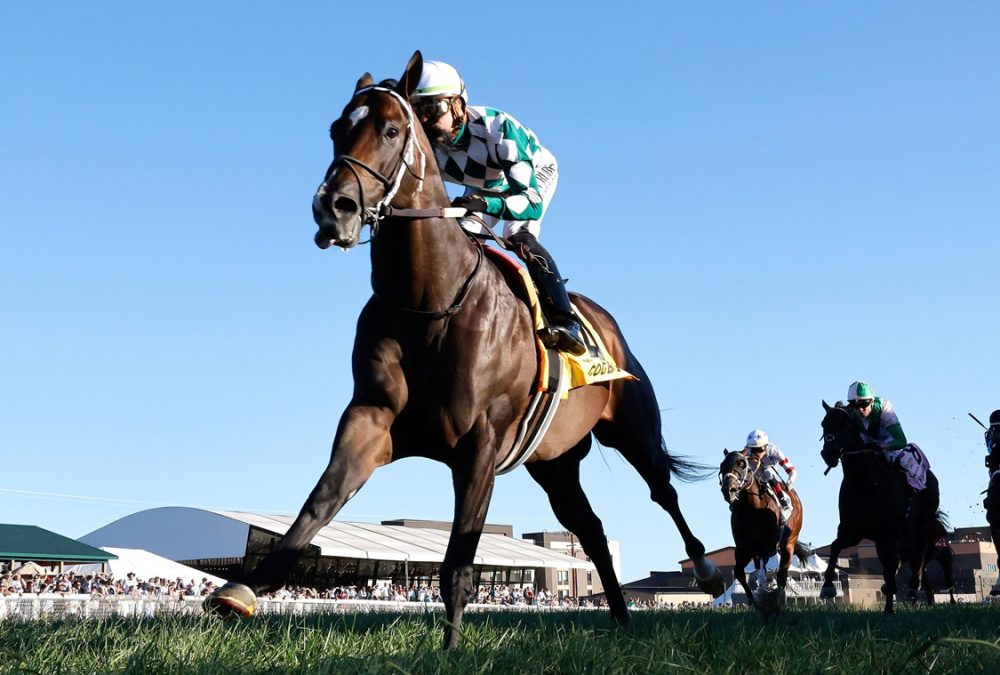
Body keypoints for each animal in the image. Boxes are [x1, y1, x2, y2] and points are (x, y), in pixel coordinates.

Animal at [205, 51, 720, 648]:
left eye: (391, 129)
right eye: (336, 129)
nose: (333, 207)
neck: (428, 304)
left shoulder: (479, 444)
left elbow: (459, 562)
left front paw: (450, 649)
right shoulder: (371, 421)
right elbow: (318, 504)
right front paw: (243, 588)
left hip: (631, 429)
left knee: (664, 492)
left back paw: (710, 573)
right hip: (555, 463)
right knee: (590, 530)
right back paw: (619, 619)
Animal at [816, 398, 940, 616]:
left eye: (845, 424)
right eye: (824, 424)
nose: (828, 453)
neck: (865, 484)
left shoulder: (887, 532)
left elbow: (891, 566)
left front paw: (890, 605)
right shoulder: (853, 530)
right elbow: (835, 547)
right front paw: (827, 587)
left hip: (921, 525)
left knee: (920, 554)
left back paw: (913, 588)